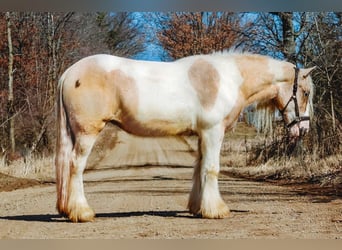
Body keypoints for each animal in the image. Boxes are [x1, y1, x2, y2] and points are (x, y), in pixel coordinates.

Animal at [55, 52, 316, 223]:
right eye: (305, 92)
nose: (303, 130)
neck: (228, 78)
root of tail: (69, 73)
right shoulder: (213, 131)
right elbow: (212, 168)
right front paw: (217, 210)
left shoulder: (202, 134)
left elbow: (199, 168)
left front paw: (198, 207)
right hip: (87, 133)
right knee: (75, 166)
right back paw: (82, 212)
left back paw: (67, 210)